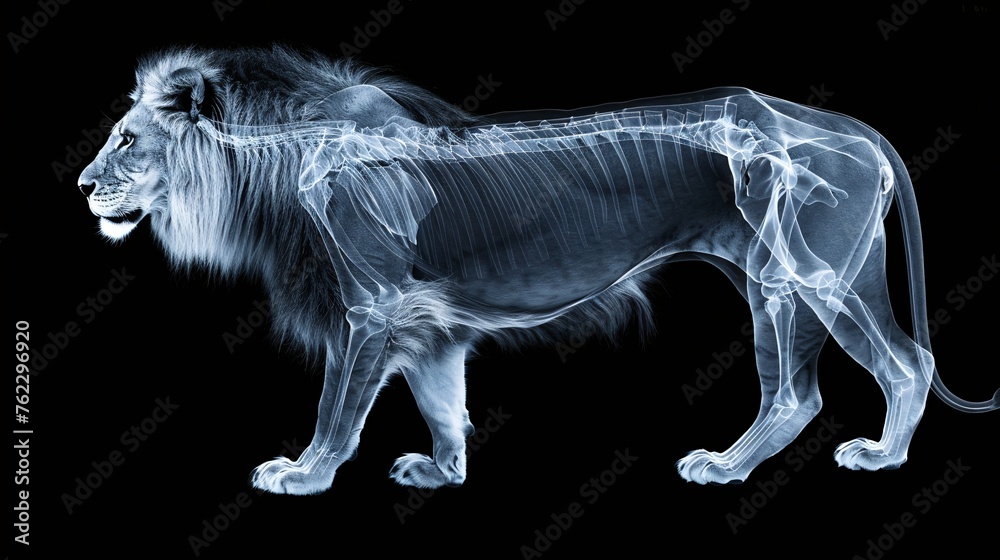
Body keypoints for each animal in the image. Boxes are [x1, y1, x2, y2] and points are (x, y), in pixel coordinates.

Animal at [79, 46, 998, 494]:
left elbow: (337, 405)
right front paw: (442, 473)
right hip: (779, 280)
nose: (82, 184)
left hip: (818, 271)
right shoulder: (425, 319)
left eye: (126, 138)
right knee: (803, 392)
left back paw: (873, 460)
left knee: (902, 364)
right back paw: (732, 467)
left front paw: (303, 475)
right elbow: (442, 401)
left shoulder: (371, 304)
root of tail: (849, 125)